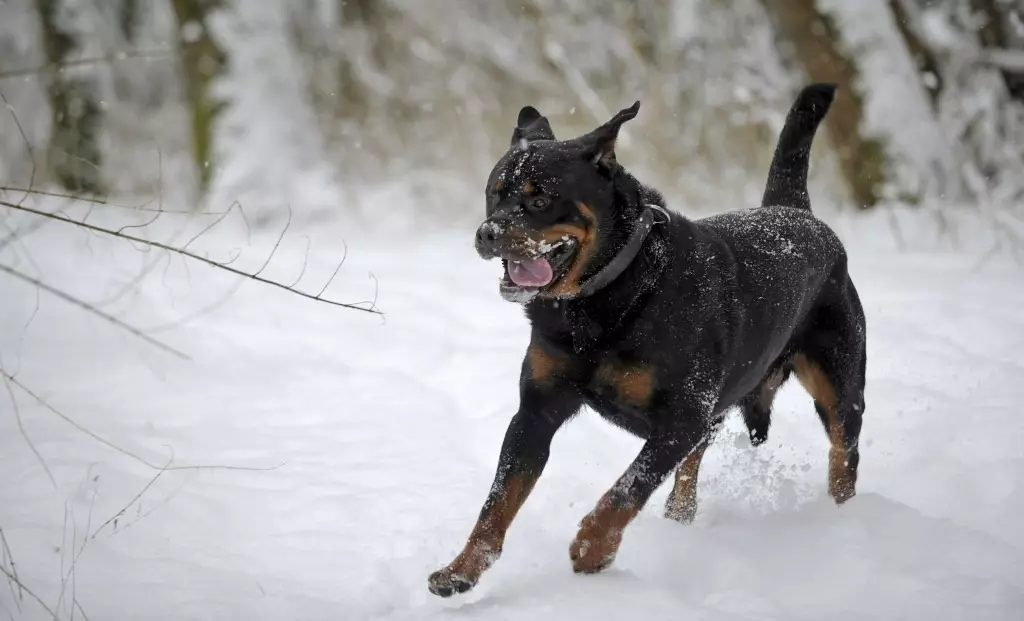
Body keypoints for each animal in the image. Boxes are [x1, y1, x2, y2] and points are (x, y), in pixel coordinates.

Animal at [428, 84, 868, 598]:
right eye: (493, 195)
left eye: (540, 201)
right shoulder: (536, 410)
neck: (605, 299)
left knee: (843, 455)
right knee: (692, 468)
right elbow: (498, 500)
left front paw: (593, 548)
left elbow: (628, 486)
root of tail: (796, 210)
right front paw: (461, 568)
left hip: (839, 388)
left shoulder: (682, 417)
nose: (487, 233)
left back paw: (843, 523)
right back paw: (680, 517)